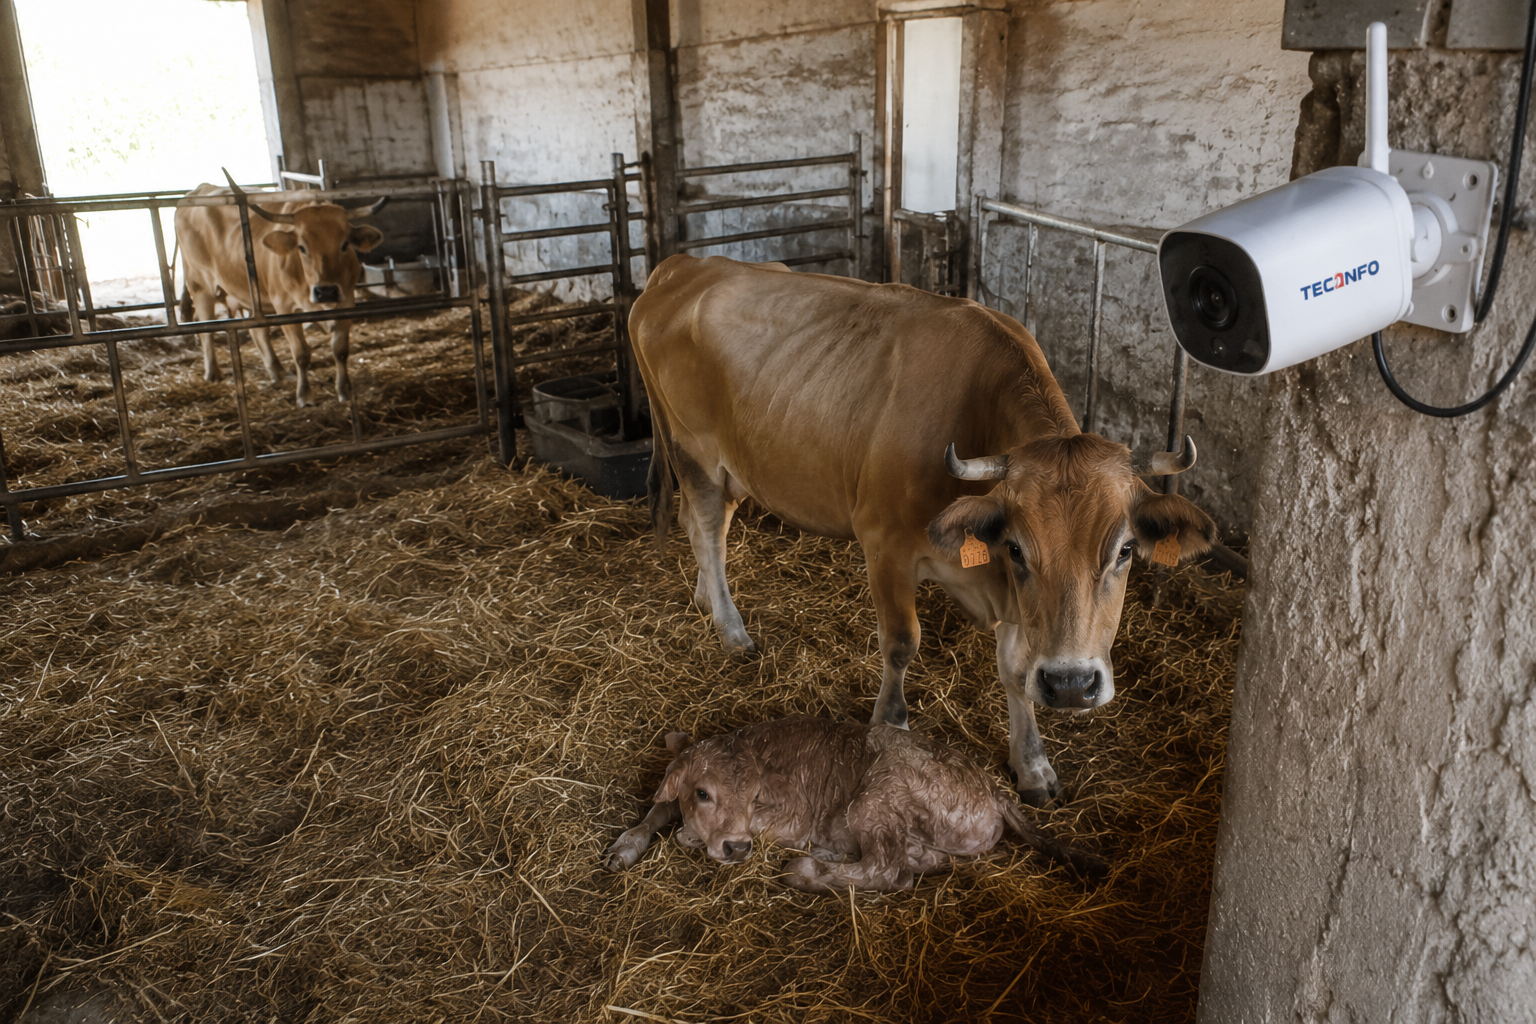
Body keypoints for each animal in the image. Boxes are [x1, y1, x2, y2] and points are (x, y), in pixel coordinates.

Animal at [174, 173, 386, 407]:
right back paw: (212, 373)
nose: (326, 291)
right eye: (301, 247)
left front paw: (345, 390)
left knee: (257, 331)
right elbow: (301, 353)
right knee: (205, 328)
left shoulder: (347, 301)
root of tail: (200, 189)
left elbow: (340, 350)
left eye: (345, 245)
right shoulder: (285, 308)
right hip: (200, 284)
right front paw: (304, 395)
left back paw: (277, 371)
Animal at [602, 716, 1105, 891]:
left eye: (753, 797)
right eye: (703, 792)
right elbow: (662, 807)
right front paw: (624, 847)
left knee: (885, 868)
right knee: (909, 867)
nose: (737, 848)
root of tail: (995, 790)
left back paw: (808, 870)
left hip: (878, 797)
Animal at [630, 255, 1216, 806]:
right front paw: (890, 725)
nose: (1072, 685)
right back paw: (731, 629)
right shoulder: (885, 545)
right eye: (1018, 548)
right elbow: (900, 644)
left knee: (702, 526)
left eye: (1125, 551)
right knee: (706, 529)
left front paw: (1032, 764)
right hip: (697, 453)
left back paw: (706, 598)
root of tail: (683, 266)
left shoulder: (1010, 596)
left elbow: (1015, 667)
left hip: (732, 467)